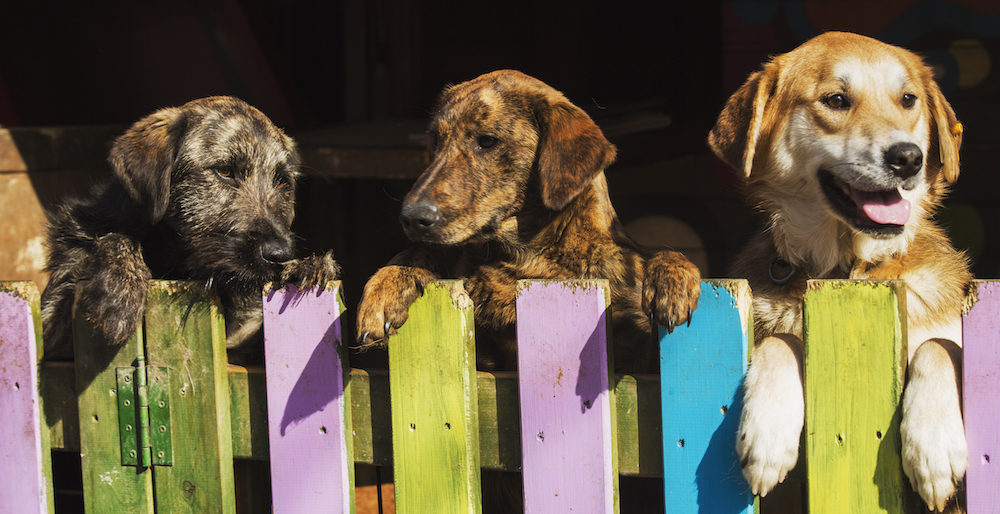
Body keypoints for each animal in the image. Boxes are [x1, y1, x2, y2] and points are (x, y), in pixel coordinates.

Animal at [41, 96, 339, 358]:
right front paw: (118, 293)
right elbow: (115, 238)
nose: (279, 255)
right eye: (225, 171)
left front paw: (308, 265)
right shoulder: (53, 331)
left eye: (282, 183)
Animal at [355, 69, 701, 374]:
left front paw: (672, 280)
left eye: (487, 141)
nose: (411, 218)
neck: (529, 258)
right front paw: (384, 289)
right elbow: (419, 252)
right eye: (435, 140)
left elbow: (663, 257)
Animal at [709, 32, 970, 511]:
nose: (909, 158)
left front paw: (933, 445)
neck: (847, 269)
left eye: (908, 99)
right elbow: (781, 341)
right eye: (836, 100)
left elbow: (939, 345)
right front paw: (767, 433)